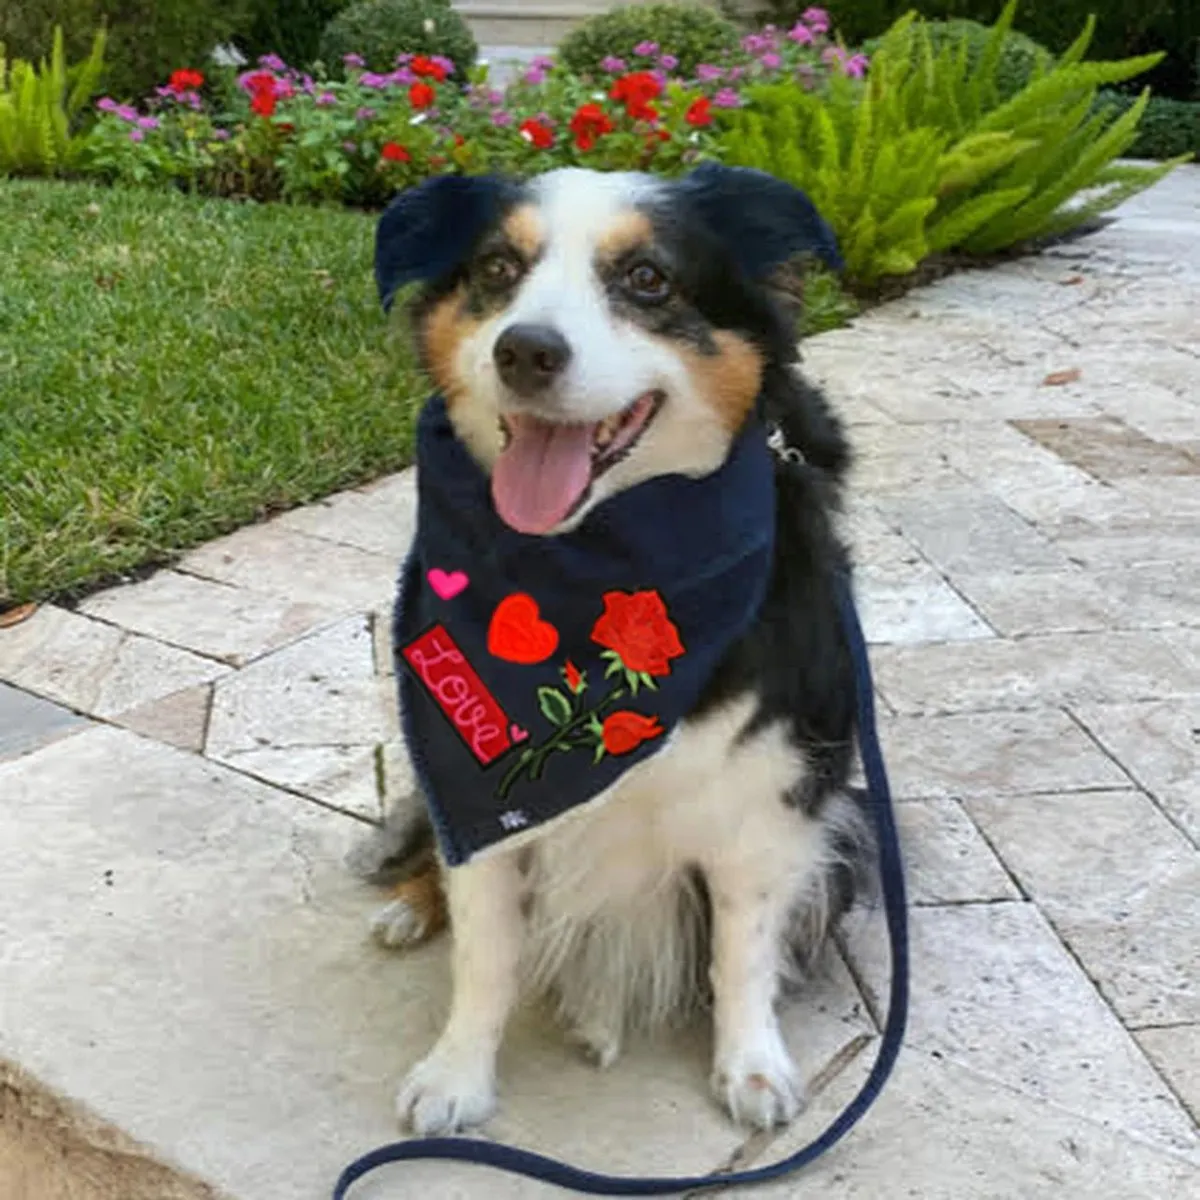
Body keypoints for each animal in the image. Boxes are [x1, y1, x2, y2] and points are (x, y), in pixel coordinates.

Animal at [350, 164, 868, 1137]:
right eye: (498, 266)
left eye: (648, 279)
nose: (524, 352)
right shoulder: (476, 800)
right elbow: (485, 955)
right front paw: (456, 1075)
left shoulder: (769, 797)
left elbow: (742, 945)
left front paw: (752, 1067)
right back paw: (410, 911)